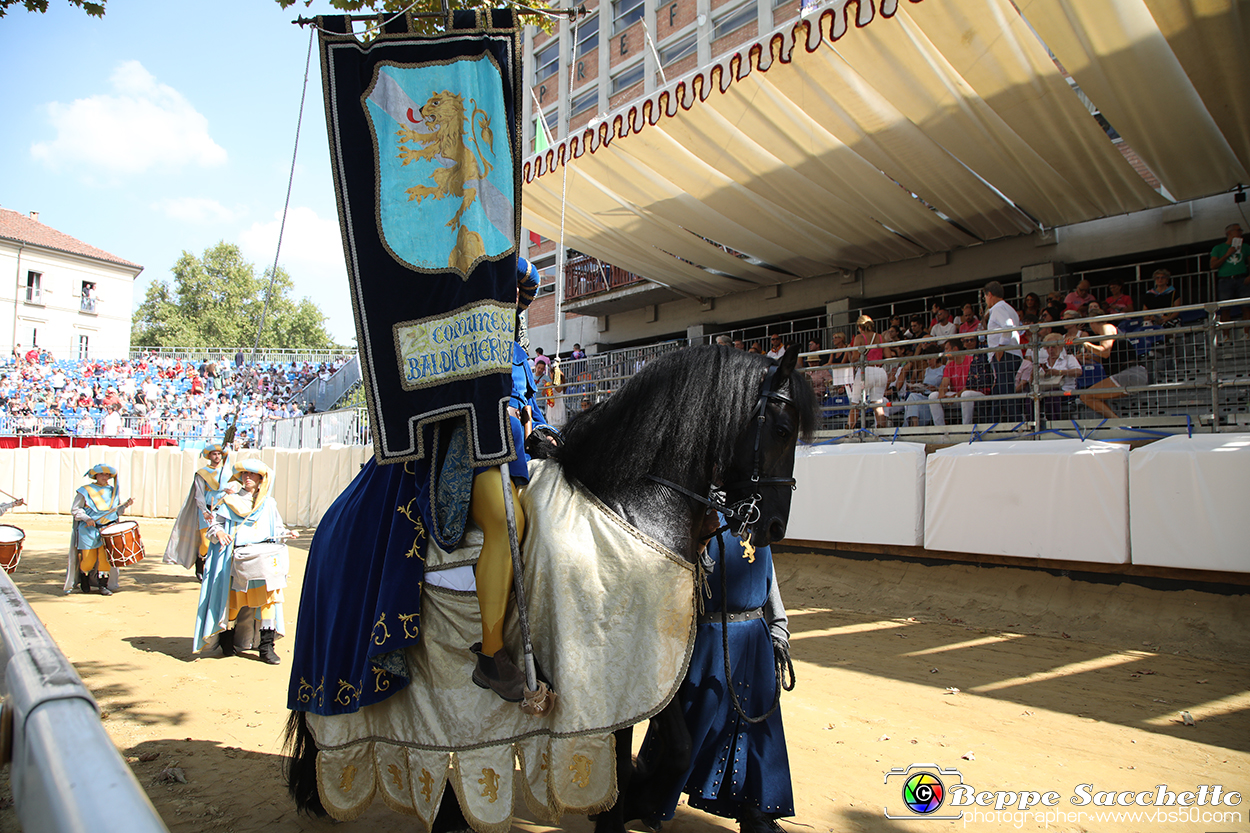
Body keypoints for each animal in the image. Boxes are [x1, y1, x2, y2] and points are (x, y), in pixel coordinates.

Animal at [283, 340, 820, 825]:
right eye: (781, 429)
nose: (775, 526)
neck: (625, 506)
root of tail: (331, 519)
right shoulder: (611, 673)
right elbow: (635, 755)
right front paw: (627, 803)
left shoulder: (642, 669)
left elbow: (675, 748)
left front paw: (636, 799)